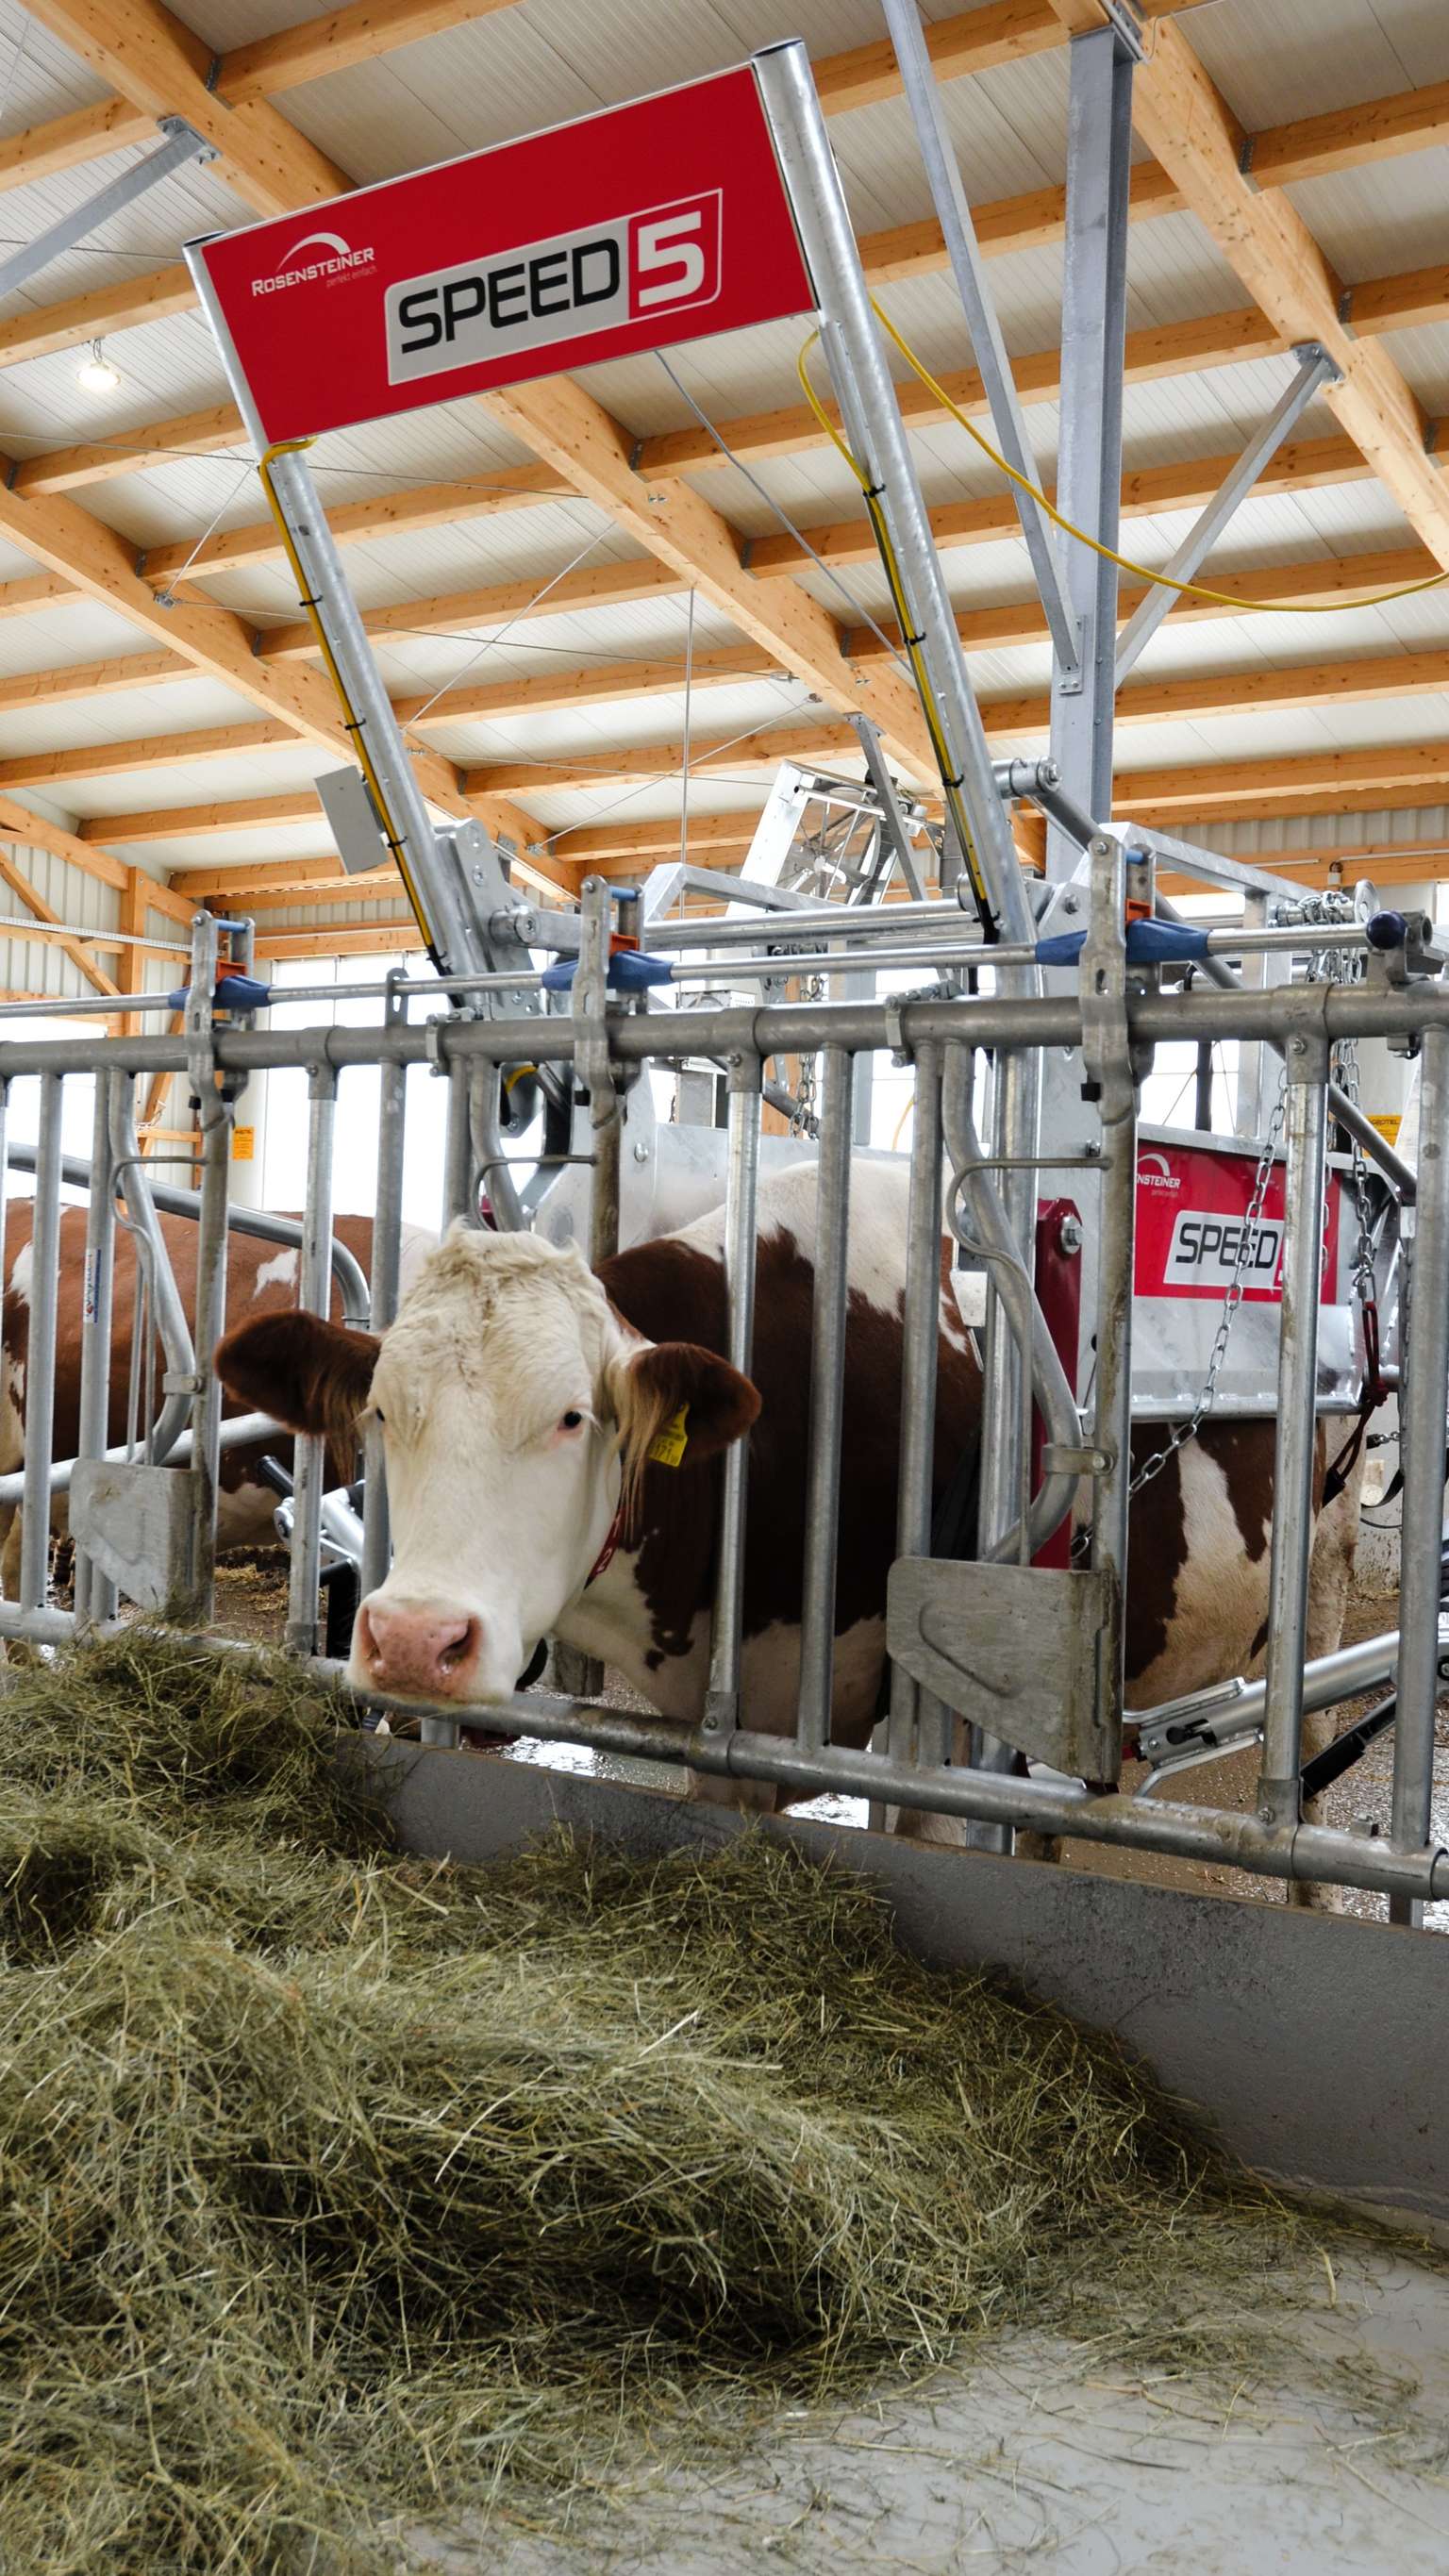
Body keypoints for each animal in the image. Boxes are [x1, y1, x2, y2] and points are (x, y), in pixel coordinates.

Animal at [214, 1162, 1363, 1890]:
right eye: (378, 1411)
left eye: (573, 1416)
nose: (414, 1639)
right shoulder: (734, 1725)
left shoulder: (929, 1726)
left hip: (1326, 1578)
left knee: (1309, 1759)